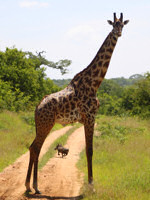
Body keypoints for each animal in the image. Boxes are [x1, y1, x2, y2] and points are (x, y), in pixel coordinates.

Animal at [24, 12, 129, 194]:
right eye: (113, 25)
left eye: (122, 25)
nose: (118, 33)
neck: (95, 82)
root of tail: (37, 108)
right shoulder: (90, 116)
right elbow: (89, 150)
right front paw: (91, 185)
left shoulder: (88, 118)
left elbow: (89, 150)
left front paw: (91, 183)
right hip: (46, 123)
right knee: (36, 148)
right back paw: (34, 186)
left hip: (41, 124)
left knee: (33, 147)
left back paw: (30, 186)